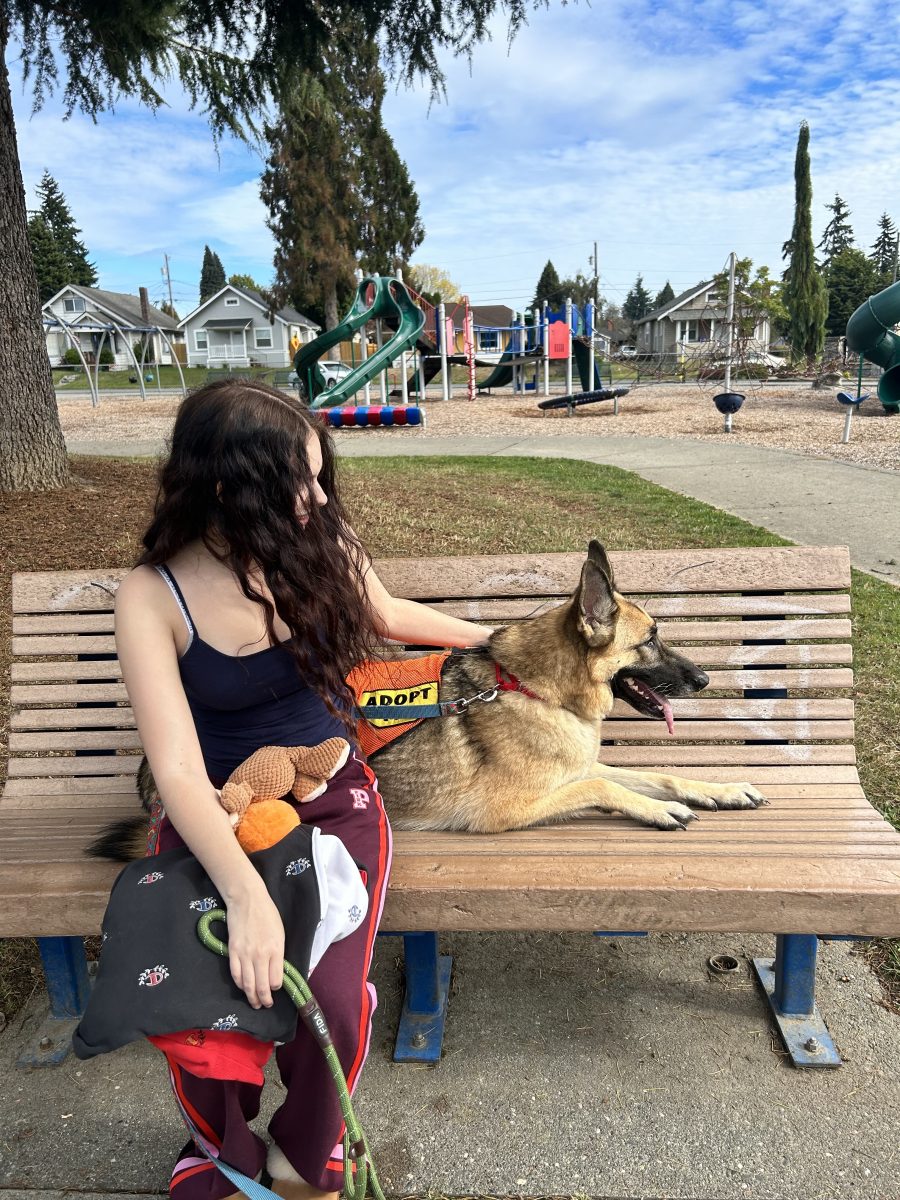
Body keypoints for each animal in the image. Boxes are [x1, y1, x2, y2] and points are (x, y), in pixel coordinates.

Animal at [91, 542, 768, 864]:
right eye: (650, 639)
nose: (705, 678)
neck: (534, 687)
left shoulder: (579, 766)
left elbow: (658, 772)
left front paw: (718, 790)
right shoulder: (511, 807)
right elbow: (604, 787)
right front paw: (657, 811)